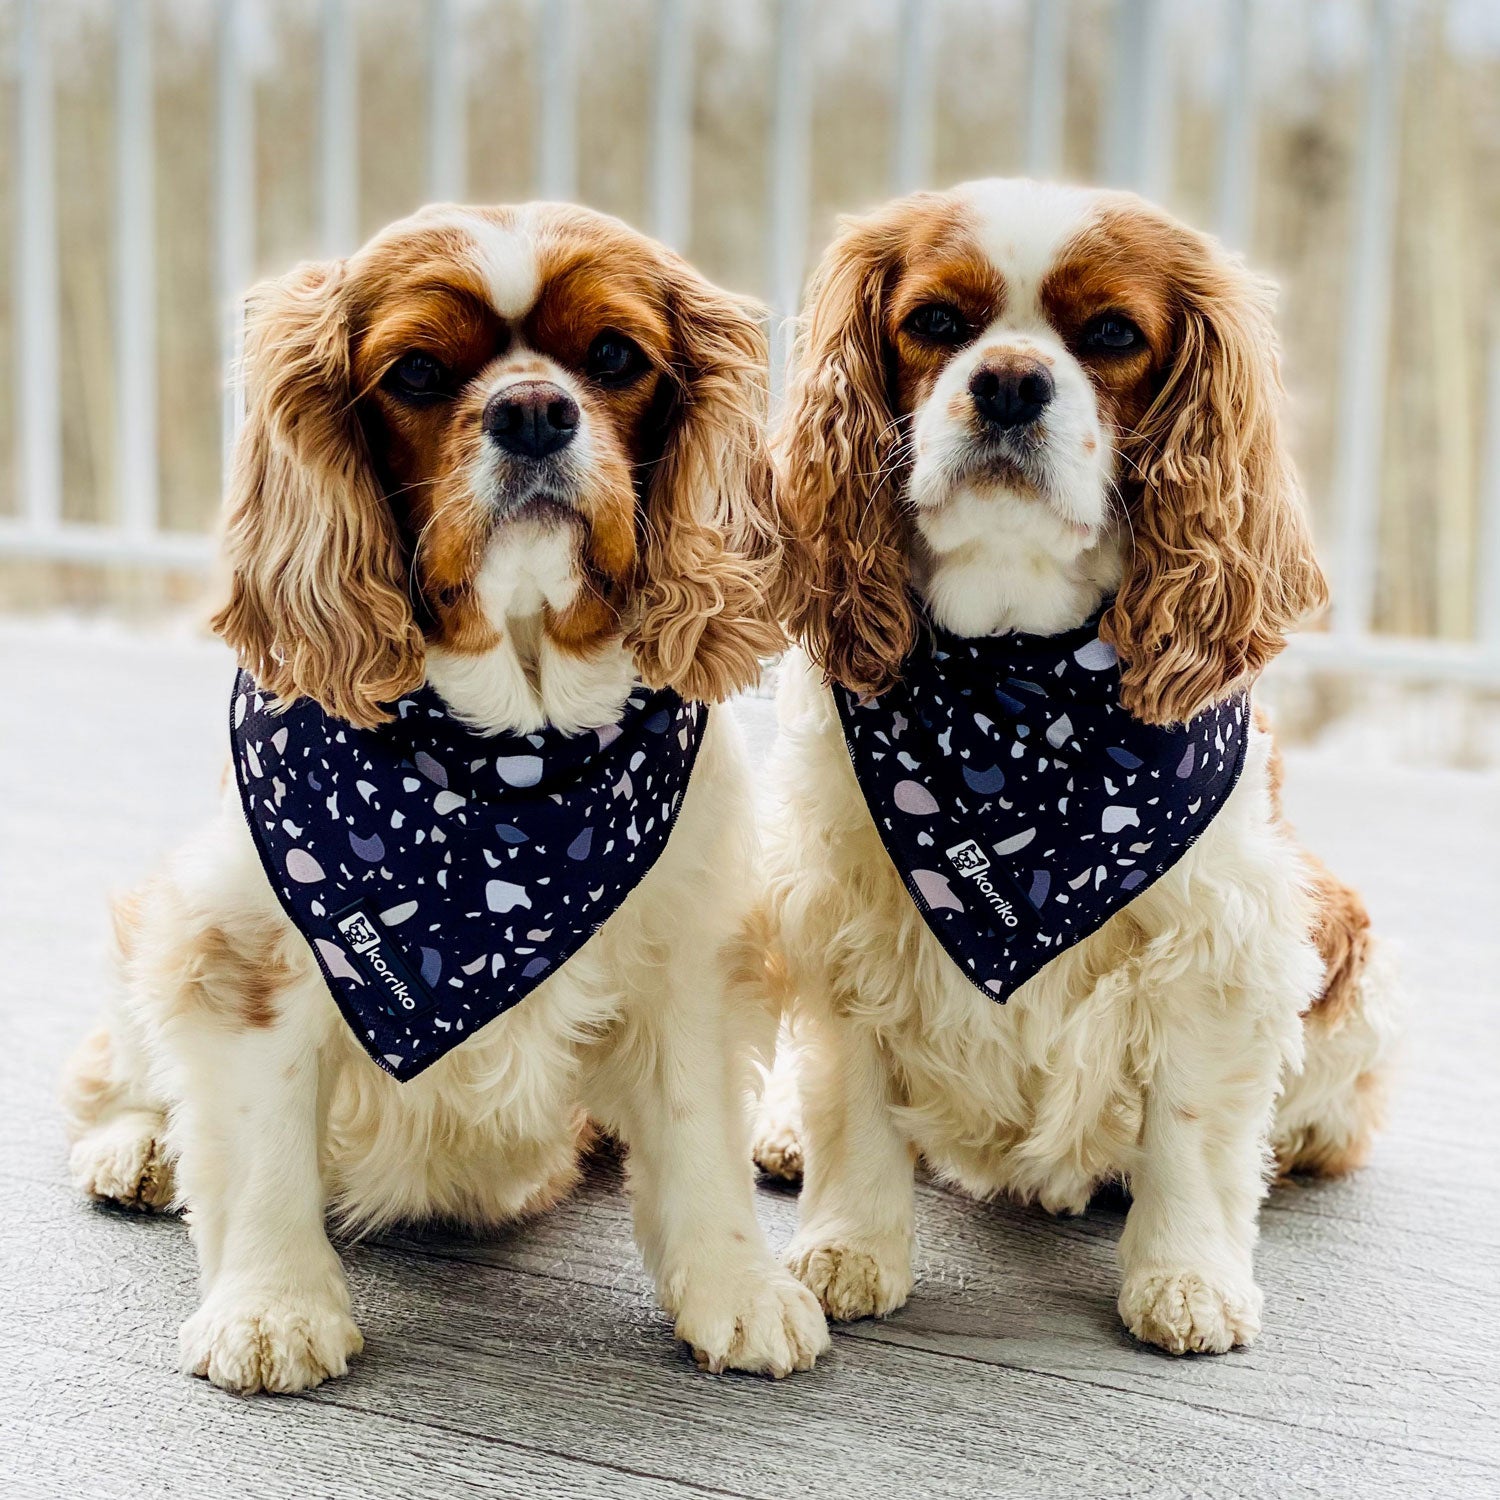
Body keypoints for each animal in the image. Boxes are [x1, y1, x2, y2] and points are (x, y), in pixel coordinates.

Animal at [61, 201, 829, 1392]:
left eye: (615, 356)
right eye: (417, 372)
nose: (532, 411)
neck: (511, 761)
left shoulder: (696, 953)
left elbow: (699, 1132)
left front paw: (737, 1287)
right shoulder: (249, 951)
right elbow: (263, 1141)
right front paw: (272, 1307)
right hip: (164, 915)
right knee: (115, 1060)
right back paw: (138, 1143)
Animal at [756, 179, 1398, 1355]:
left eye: (1111, 336)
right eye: (935, 322)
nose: (1010, 381)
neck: (1016, 689)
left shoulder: (1221, 940)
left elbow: (1191, 1125)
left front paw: (1186, 1277)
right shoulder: (839, 905)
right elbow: (852, 1102)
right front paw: (850, 1248)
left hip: (1351, 949)